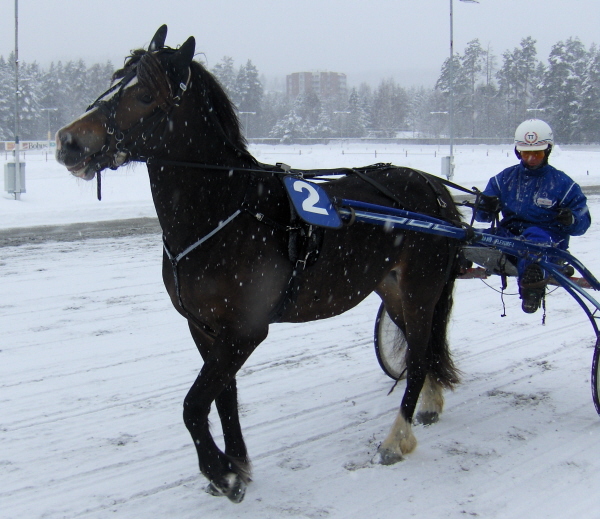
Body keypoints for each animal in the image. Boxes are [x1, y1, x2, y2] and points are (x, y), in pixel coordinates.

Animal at [55, 26, 460, 506]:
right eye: (115, 80)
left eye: (145, 94)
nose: (67, 141)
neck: (225, 211)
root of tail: (433, 187)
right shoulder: (203, 326)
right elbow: (223, 398)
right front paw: (237, 465)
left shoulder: (246, 330)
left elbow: (193, 405)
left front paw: (221, 473)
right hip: (391, 288)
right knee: (423, 349)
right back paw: (430, 404)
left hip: (421, 287)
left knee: (416, 359)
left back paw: (396, 439)